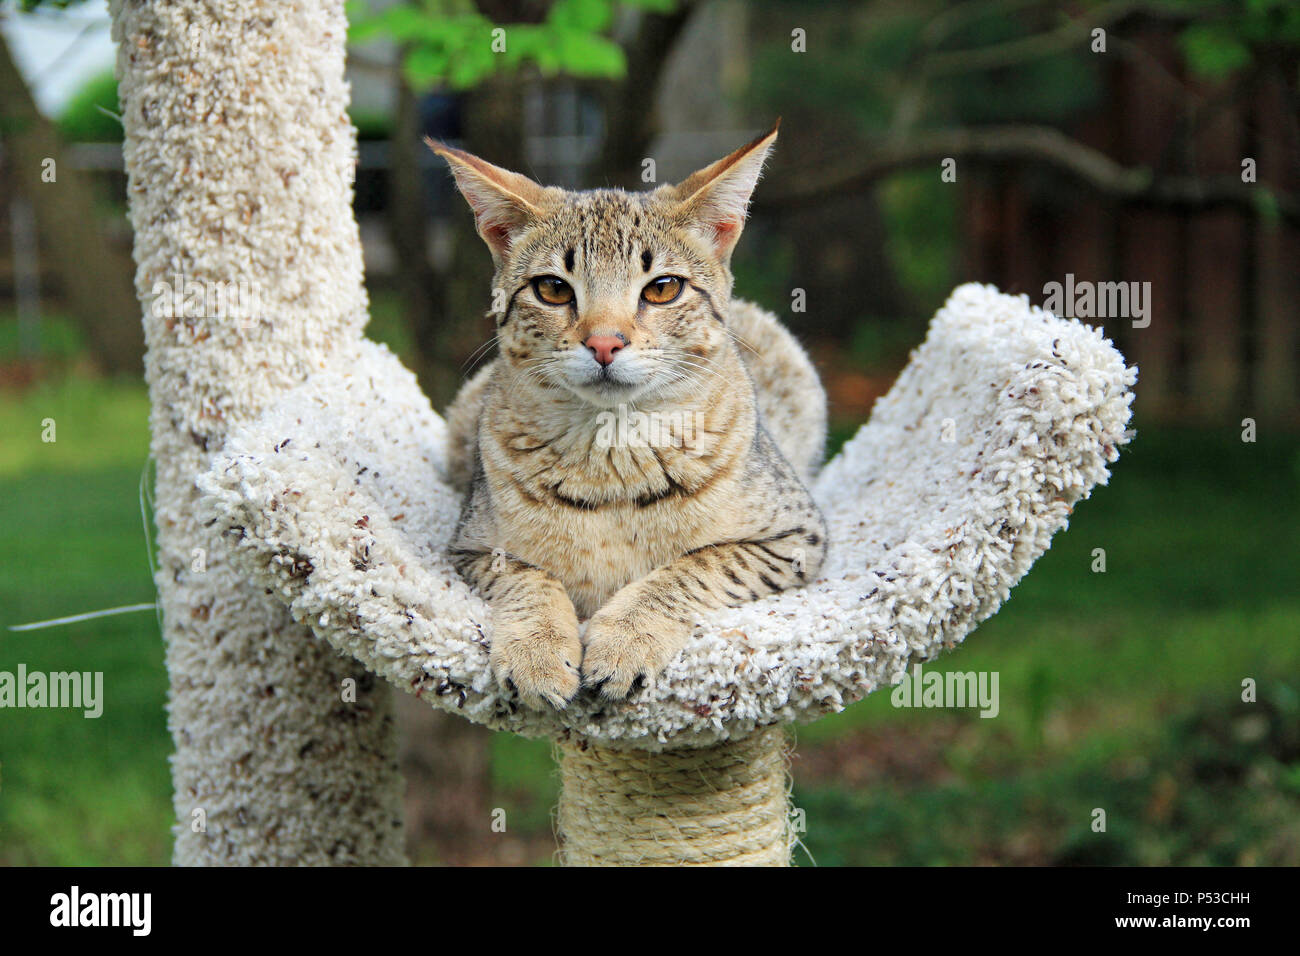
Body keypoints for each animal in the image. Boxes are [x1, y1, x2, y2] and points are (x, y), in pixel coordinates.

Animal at [431, 123, 826, 712]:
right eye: (553, 288)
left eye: (662, 288)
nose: (603, 343)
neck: (612, 448)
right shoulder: (468, 547)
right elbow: (528, 578)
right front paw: (537, 650)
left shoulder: (797, 537)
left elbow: (694, 567)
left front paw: (625, 640)